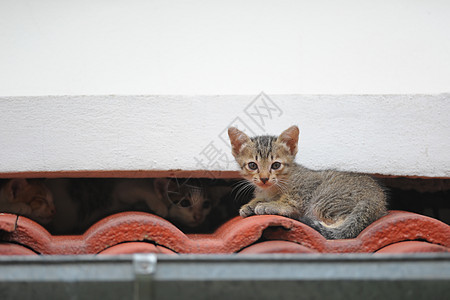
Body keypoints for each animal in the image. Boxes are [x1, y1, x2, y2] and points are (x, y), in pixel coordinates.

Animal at [229, 126, 386, 239]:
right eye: (252, 165)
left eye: (276, 165)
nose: (264, 178)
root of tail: (376, 198)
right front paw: (251, 204)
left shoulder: (305, 186)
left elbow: (290, 201)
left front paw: (271, 205)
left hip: (323, 200)